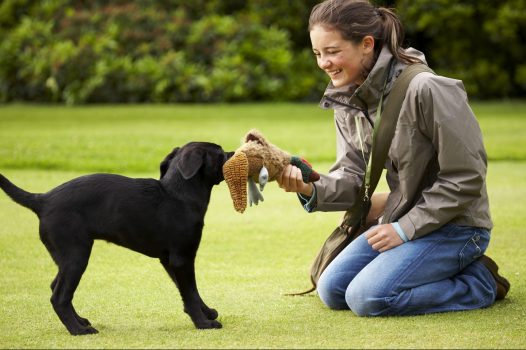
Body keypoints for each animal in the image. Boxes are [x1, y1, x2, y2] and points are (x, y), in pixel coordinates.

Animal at [0, 142, 235, 334]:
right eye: (220, 153)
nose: (234, 153)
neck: (179, 195)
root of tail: (43, 199)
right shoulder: (182, 258)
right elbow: (189, 292)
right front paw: (203, 323)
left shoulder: (169, 260)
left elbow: (189, 291)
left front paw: (207, 312)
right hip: (76, 255)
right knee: (59, 296)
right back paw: (78, 330)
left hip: (67, 256)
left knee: (56, 287)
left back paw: (81, 321)